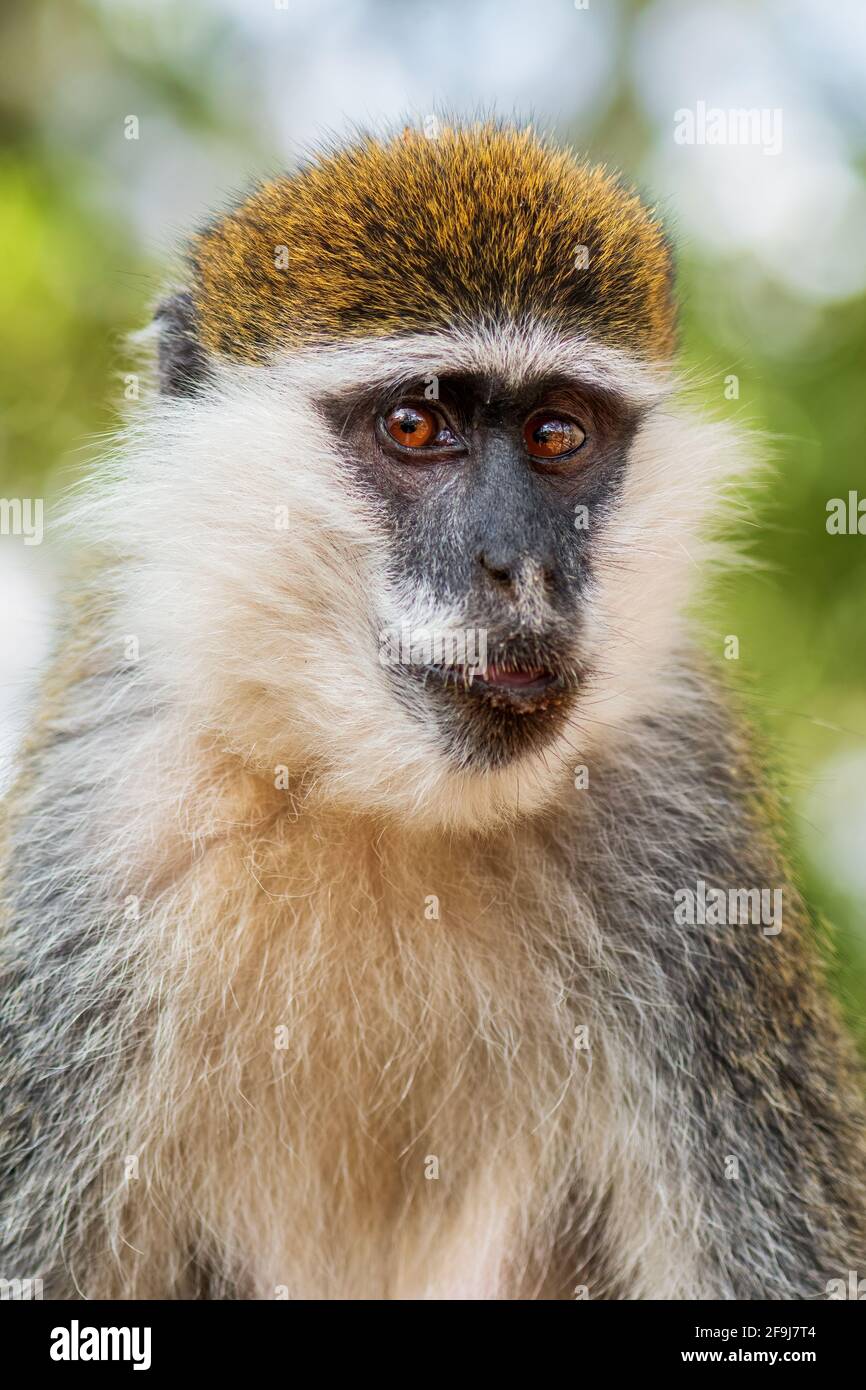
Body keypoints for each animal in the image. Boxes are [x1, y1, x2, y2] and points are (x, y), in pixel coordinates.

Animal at [1, 121, 864, 1301]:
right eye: (415, 424)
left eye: (556, 435)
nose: (522, 569)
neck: (379, 807)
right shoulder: (94, 837)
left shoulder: (689, 824)